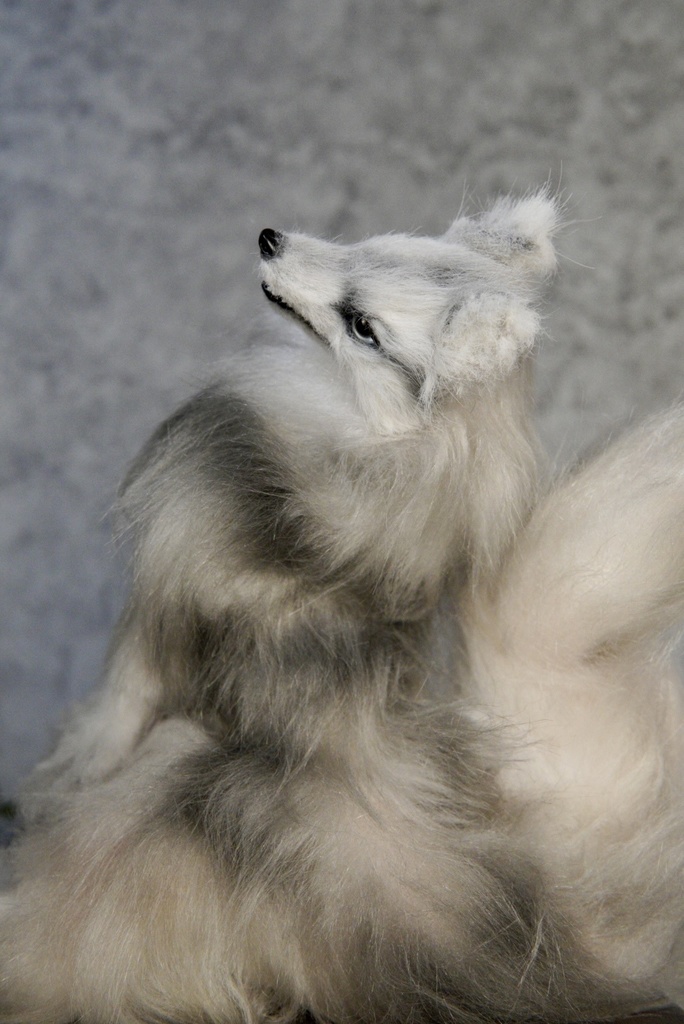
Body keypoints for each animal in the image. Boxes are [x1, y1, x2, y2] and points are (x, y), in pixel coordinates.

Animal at [2, 193, 684, 1024]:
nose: (269, 237)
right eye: (365, 243)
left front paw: (64, 773)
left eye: (364, 327)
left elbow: (111, 715)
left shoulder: (156, 626)